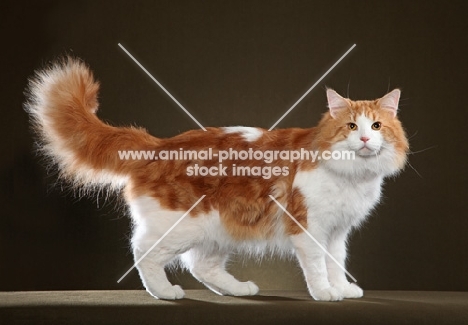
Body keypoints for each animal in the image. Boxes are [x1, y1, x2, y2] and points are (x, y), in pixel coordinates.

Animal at [24, 56, 410, 302]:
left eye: (377, 126)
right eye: (352, 126)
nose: (365, 139)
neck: (352, 175)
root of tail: (160, 144)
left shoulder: (337, 232)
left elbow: (337, 264)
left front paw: (342, 289)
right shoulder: (309, 228)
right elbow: (317, 267)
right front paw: (326, 294)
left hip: (218, 229)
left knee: (202, 267)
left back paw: (239, 289)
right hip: (180, 225)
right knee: (143, 251)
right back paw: (165, 293)